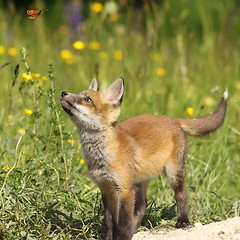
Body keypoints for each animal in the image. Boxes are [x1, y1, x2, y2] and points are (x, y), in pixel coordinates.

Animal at [60, 78, 227, 239]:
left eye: (87, 99)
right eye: (79, 94)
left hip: (172, 173)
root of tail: (172, 119)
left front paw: (123, 237)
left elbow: (123, 222)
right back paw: (135, 228)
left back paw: (183, 221)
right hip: (140, 181)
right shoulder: (106, 188)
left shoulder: (125, 189)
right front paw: (110, 237)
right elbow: (109, 221)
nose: (63, 93)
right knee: (142, 205)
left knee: (182, 195)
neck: (100, 157)